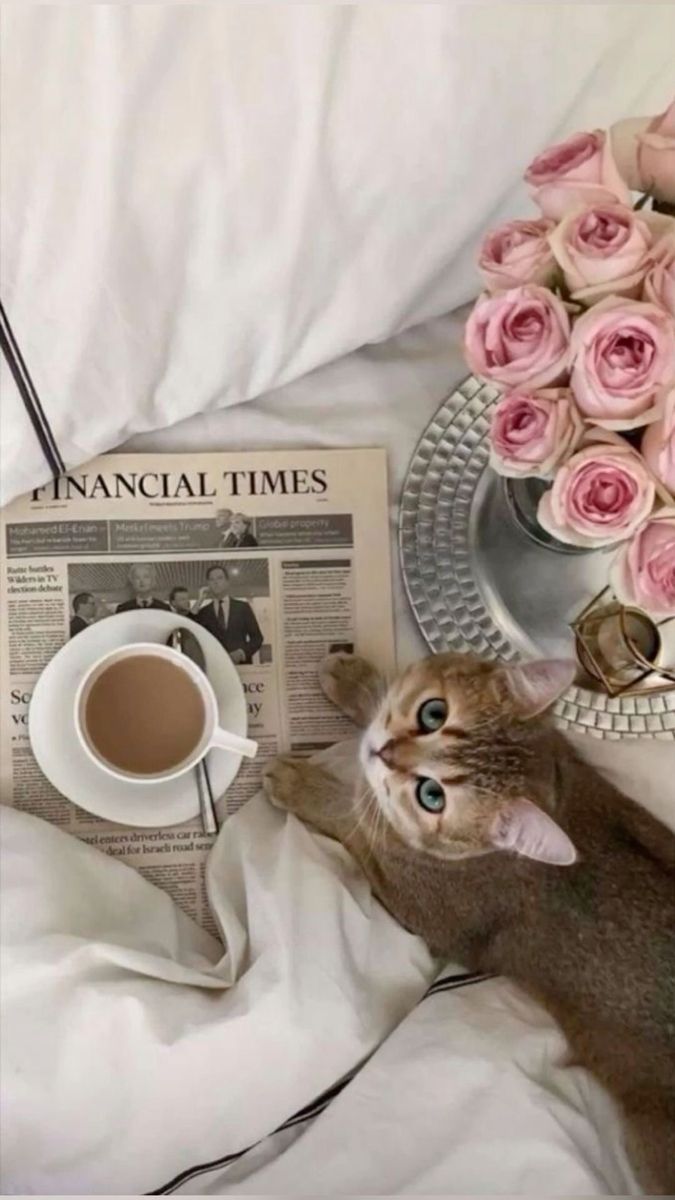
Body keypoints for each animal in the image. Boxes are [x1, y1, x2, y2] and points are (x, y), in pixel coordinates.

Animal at [261, 652, 672, 1195]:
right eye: (433, 714)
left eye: (431, 796)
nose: (384, 754)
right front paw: (358, 680)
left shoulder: (409, 892)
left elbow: (350, 813)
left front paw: (298, 783)